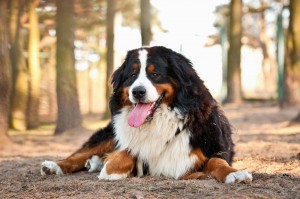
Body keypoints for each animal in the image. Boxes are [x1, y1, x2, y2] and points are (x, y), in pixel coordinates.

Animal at [41, 46, 253, 183]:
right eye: (132, 75)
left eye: (155, 74)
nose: (138, 92)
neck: (163, 121)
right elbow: (129, 151)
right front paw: (111, 166)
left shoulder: (214, 146)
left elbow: (217, 161)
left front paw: (234, 173)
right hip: (108, 133)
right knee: (80, 154)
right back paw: (54, 166)